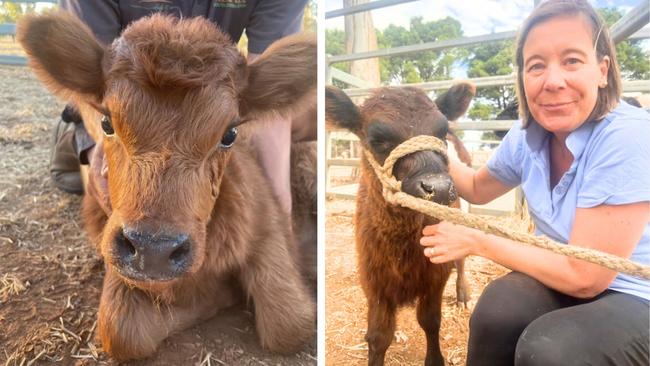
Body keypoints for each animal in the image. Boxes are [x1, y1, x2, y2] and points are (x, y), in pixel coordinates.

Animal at [17, 10, 314, 360]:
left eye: (229, 134)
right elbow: (122, 330)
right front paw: (216, 293)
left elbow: (289, 322)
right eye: (106, 122)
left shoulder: (269, 226)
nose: (153, 249)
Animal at [326, 83, 474, 366]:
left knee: (461, 261)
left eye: (441, 133)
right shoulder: (374, 281)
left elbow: (430, 321)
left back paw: (463, 295)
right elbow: (378, 336)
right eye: (378, 140)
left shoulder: (436, 275)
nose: (438, 187)